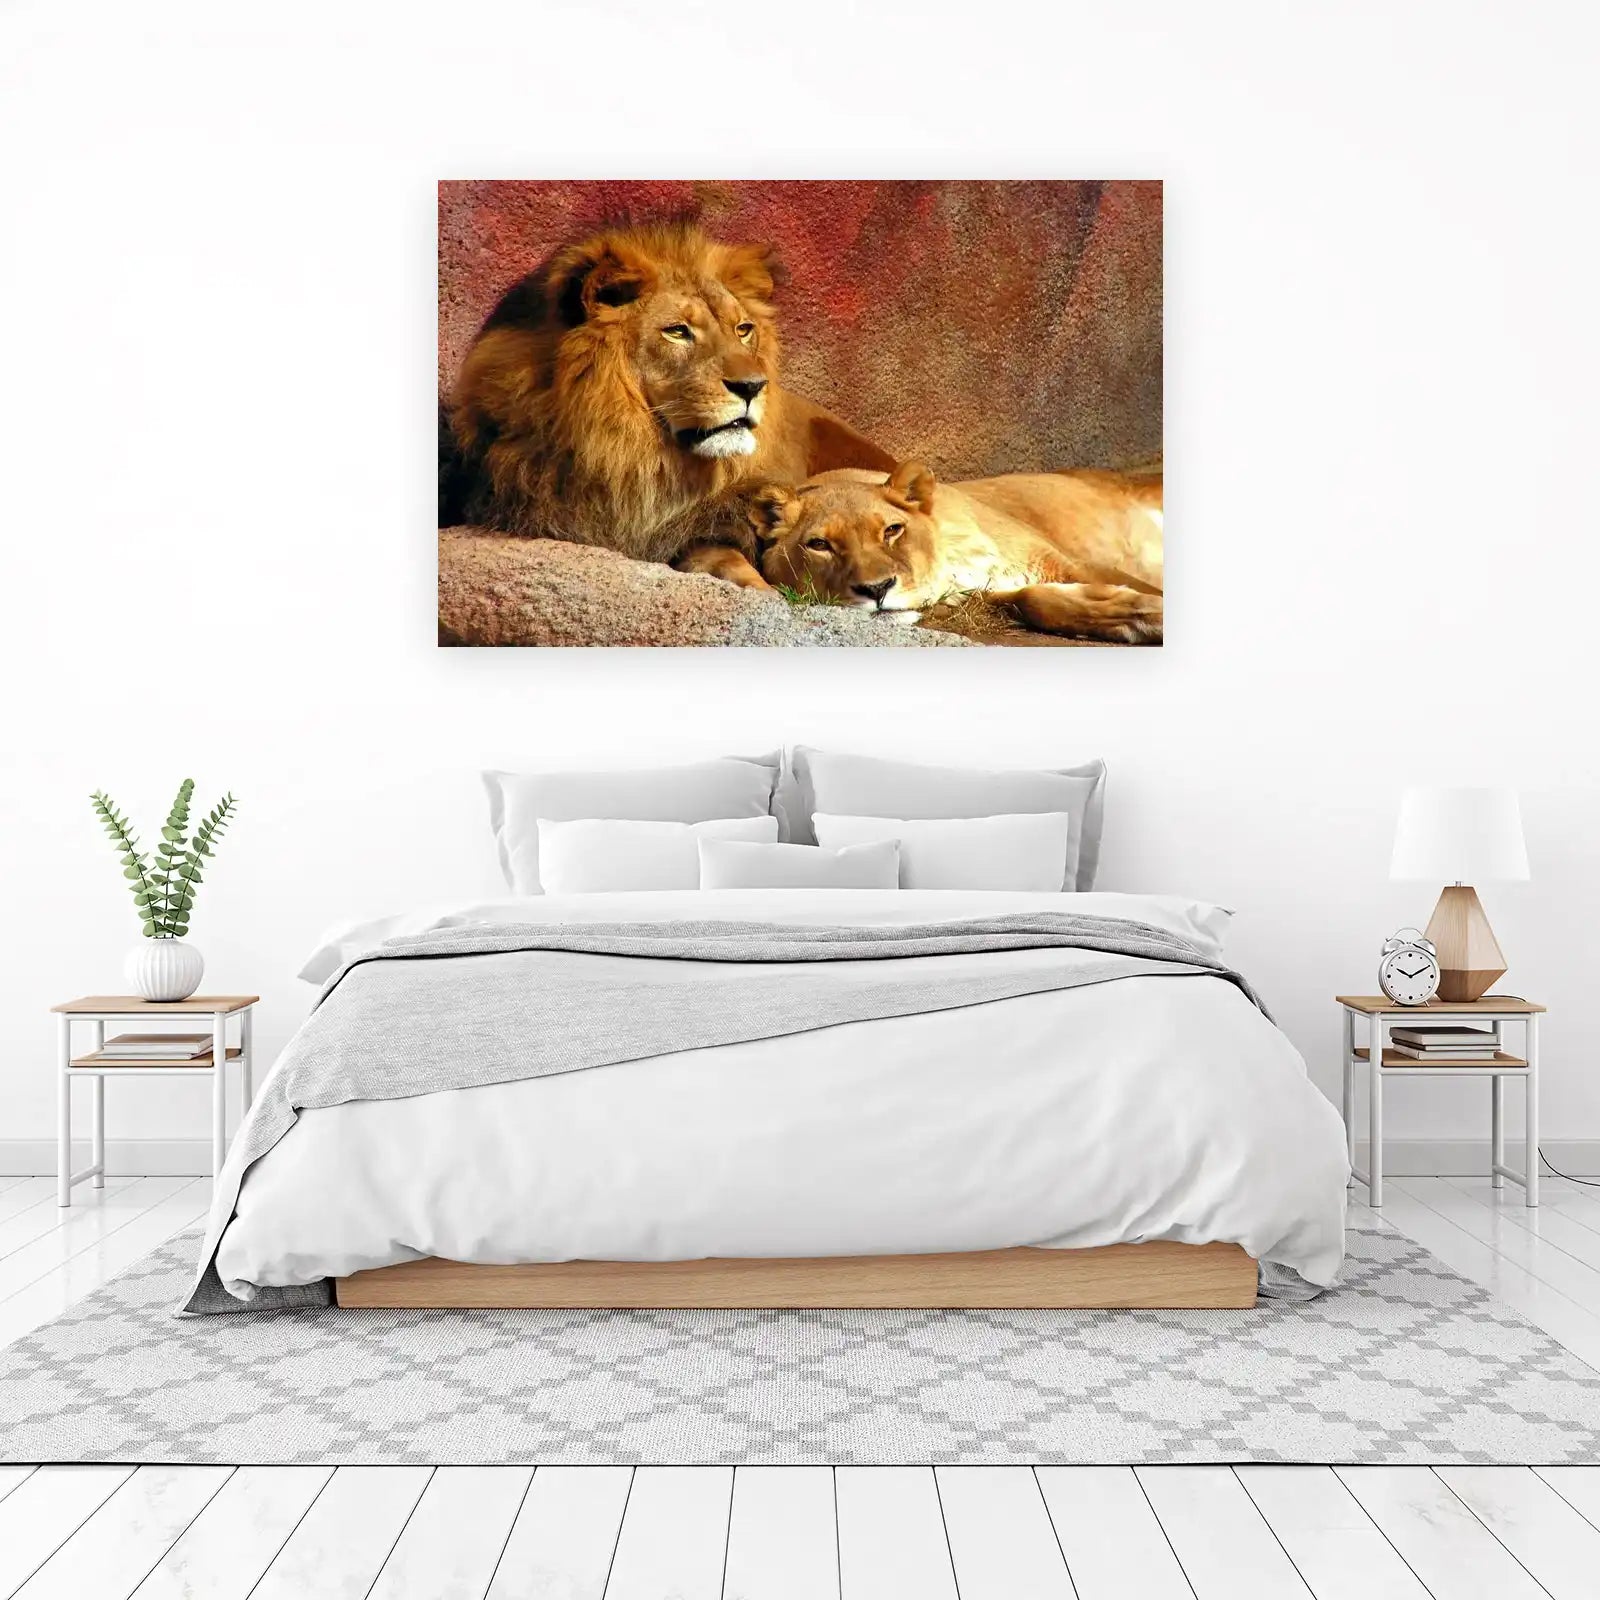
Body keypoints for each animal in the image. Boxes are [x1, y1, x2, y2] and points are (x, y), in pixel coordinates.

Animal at [750, 461, 1164, 644]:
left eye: (892, 530)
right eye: (820, 545)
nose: (877, 589)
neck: (954, 561)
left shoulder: (1062, 559)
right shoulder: (988, 593)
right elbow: (1035, 601)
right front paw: (1139, 615)